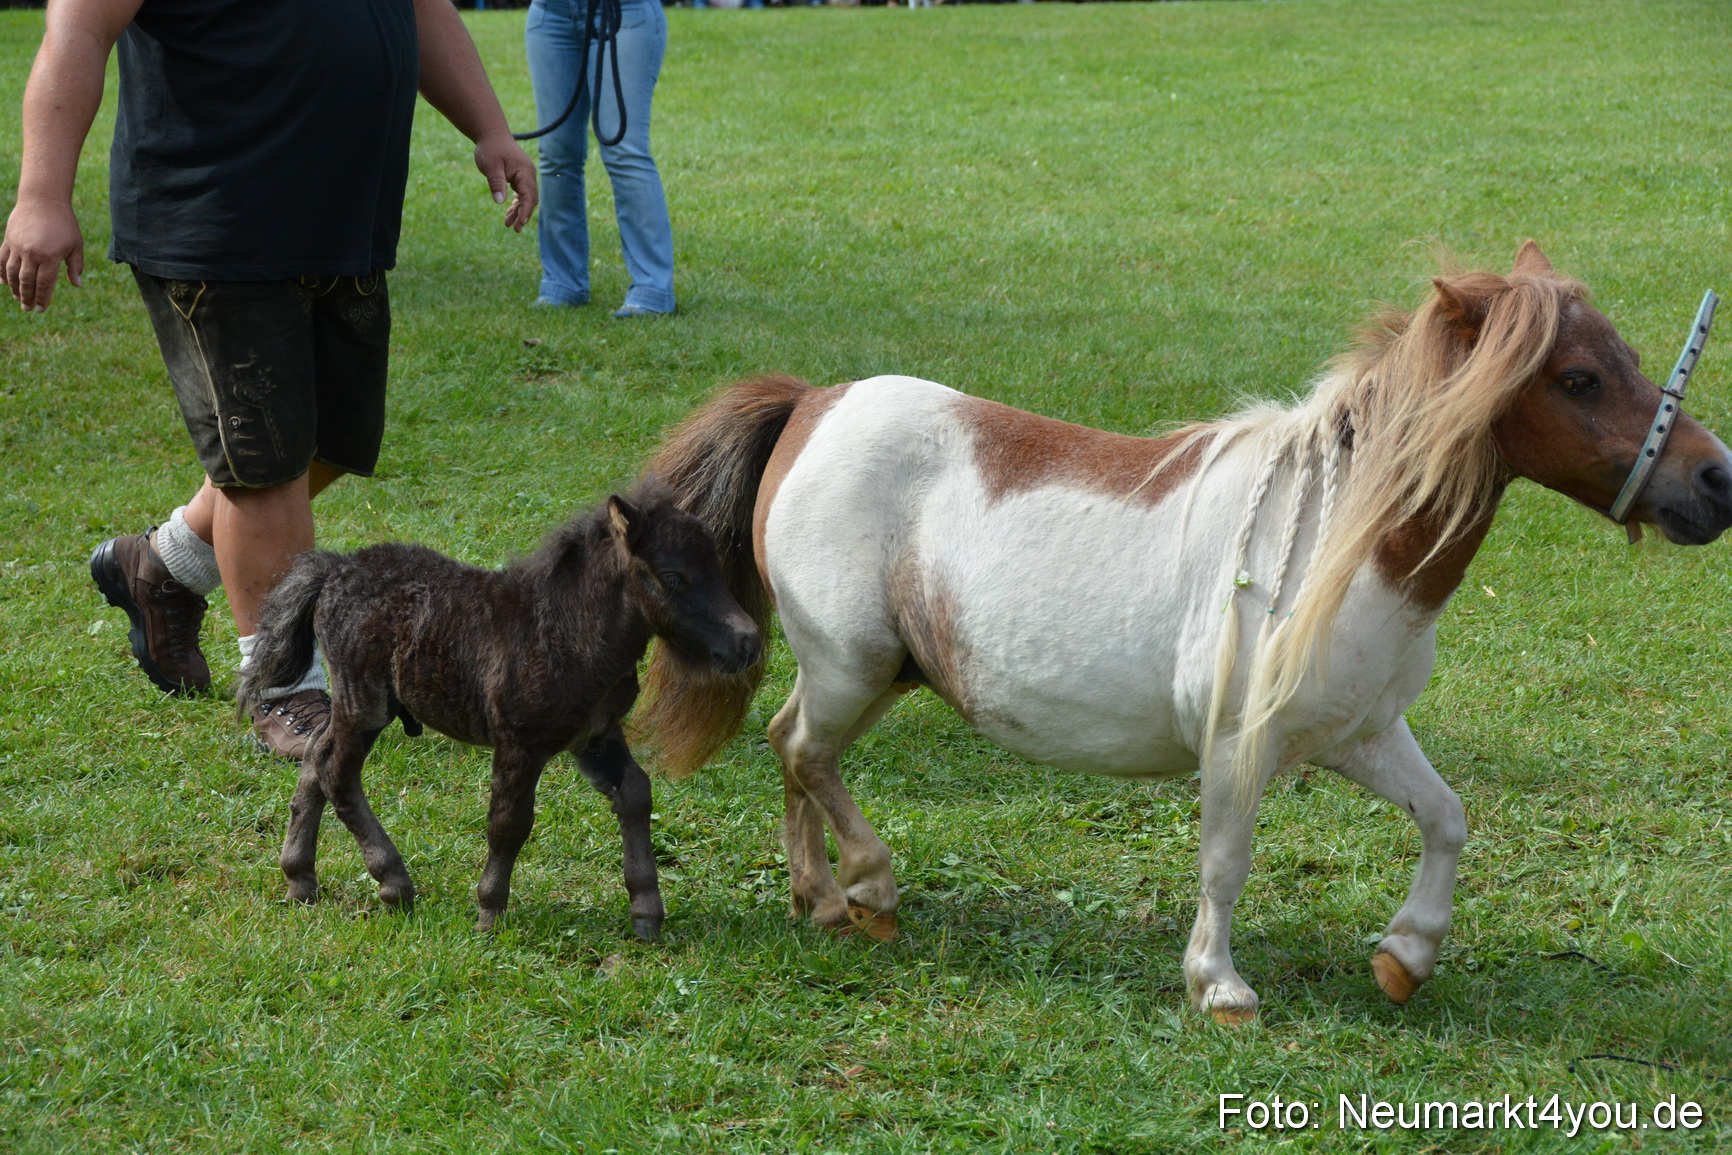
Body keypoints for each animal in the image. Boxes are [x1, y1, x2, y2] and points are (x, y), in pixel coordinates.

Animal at [239, 480, 762, 942]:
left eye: (718, 567)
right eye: (672, 577)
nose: (747, 643)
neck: (571, 631)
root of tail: (335, 567)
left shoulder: (597, 737)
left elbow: (635, 794)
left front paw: (647, 913)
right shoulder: (519, 742)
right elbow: (509, 823)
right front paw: (489, 912)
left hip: (356, 705)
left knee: (315, 757)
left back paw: (300, 879)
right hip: (364, 701)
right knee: (337, 771)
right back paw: (393, 882)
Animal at [631, 242, 1732, 1019]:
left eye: (1631, 359)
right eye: (1579, 378)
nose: (1715, 478)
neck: (1336, 537)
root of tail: (811, 403)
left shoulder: (1360, 733)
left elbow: (1446, 816)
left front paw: (1405, 957)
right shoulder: (1243, 742)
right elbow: (1224, 861)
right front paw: (1219, 985)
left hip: (871, 674)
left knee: (791, 748)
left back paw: (818, 899)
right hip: (853, 668)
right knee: (804, 751)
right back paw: (868, 887)